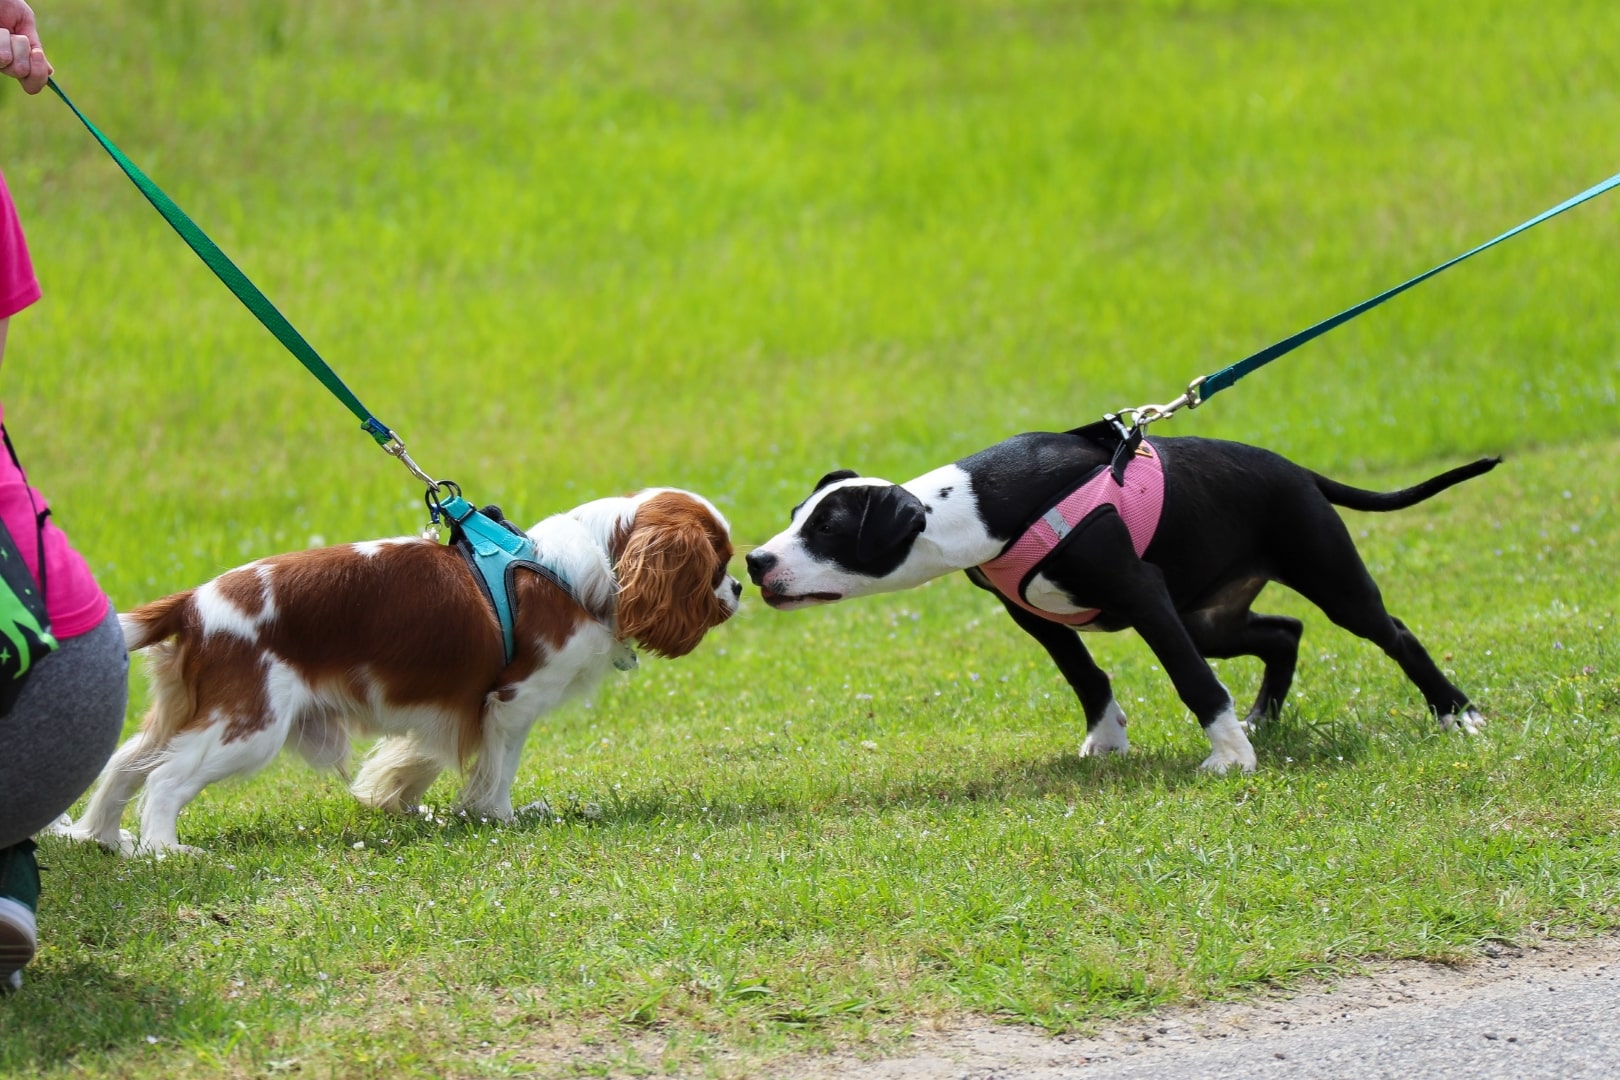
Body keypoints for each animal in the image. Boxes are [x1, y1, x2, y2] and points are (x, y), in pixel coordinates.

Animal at [66, 488, 740, 855]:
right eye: (718, 563)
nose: (738, 586)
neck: (590, 567)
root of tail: (195, 602)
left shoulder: (456, 706)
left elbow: (425, 755)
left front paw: (398, 800)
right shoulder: (512, 701)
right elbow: (498, 771)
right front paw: (500, 817)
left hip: (187, 711)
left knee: (125, 763)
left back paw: (101, 839)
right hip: (248, 727)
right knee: (165, 779)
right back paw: (164, 850)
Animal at [746, 427, 1497, 774]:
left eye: (827, 529)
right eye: (795, 515)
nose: (755, 562)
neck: (975, 508)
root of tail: (1296, 469)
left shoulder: (1144, 597)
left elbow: (1193, 681)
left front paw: (1229, 757)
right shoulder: (1035, 615)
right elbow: (1088, 677)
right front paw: (1107, 739)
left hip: (1327, 577)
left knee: (1393, 632)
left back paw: (1457, 715)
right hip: (1211, 614)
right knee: (1284, 631)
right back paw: (1263, 716)